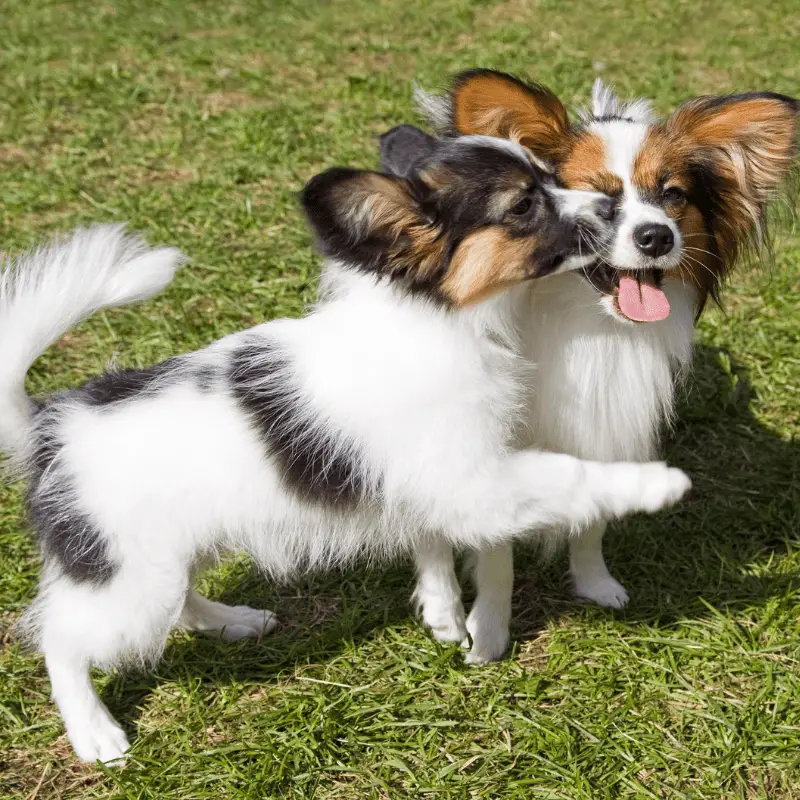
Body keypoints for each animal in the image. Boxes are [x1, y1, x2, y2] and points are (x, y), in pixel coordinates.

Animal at [0, 130, 688, 764]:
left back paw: (232, 621)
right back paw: (94, 732)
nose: (613, 209)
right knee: (61, 641)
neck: (441, 320)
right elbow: (571, 473)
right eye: (523, 206)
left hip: (162, 559)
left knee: (177, 602)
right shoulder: (475, 480)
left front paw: (442, 613)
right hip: (126, 579)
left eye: (552, 177)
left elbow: (430, 542)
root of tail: (48, 426)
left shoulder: (426, 479)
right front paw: (656, 482)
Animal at [410, 70, 796, 664]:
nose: (657, 237)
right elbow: (497, 555)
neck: (589, 329)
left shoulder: (602, 426)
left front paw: (594, 585)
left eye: (673, 196)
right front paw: (490, 635)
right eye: (596, 202)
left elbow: (592, 516)